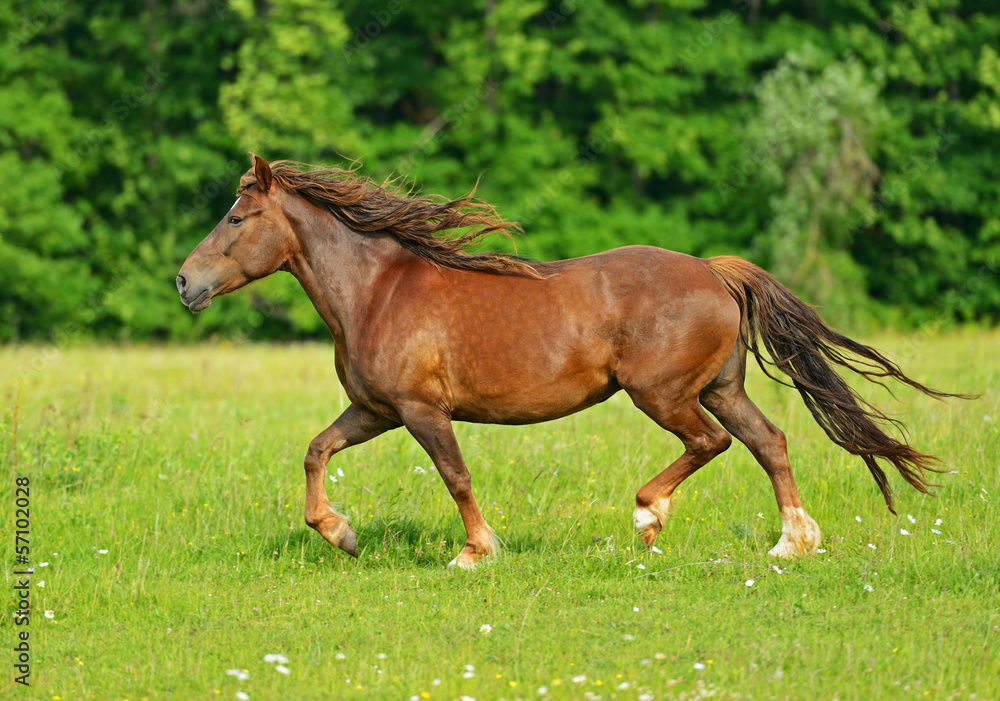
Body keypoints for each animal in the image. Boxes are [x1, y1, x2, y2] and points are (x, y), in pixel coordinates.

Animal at [176, 153, 958, 569]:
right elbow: (316, 450)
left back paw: (649, 515)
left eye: (237, 218)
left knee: (714, 444)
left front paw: (474, 552)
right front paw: (341, 534)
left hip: (664, 393)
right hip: (720, 387)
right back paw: (793, 543)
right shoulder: (375, 410)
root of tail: (714, 270)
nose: (185, 283)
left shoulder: (422, 412)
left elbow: (456, 477)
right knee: (769, 441)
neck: (377, 290)